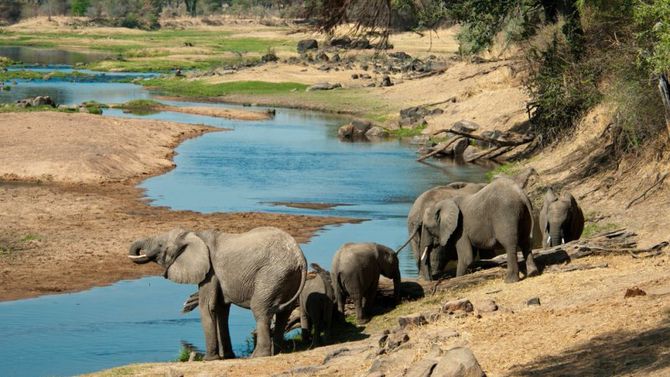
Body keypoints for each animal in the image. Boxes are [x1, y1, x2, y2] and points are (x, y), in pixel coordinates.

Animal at [128, 226, 308, 358]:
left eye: (160, 246)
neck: (194, 235)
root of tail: (300, 257)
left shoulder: (210, 271)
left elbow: (208, 306)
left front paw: (209, 359)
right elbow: (221, 309)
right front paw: (227, 356)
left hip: (272, 274)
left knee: (260, 310)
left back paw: (257, 356)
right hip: (287, 277)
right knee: (283, 313)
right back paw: (277, 352)